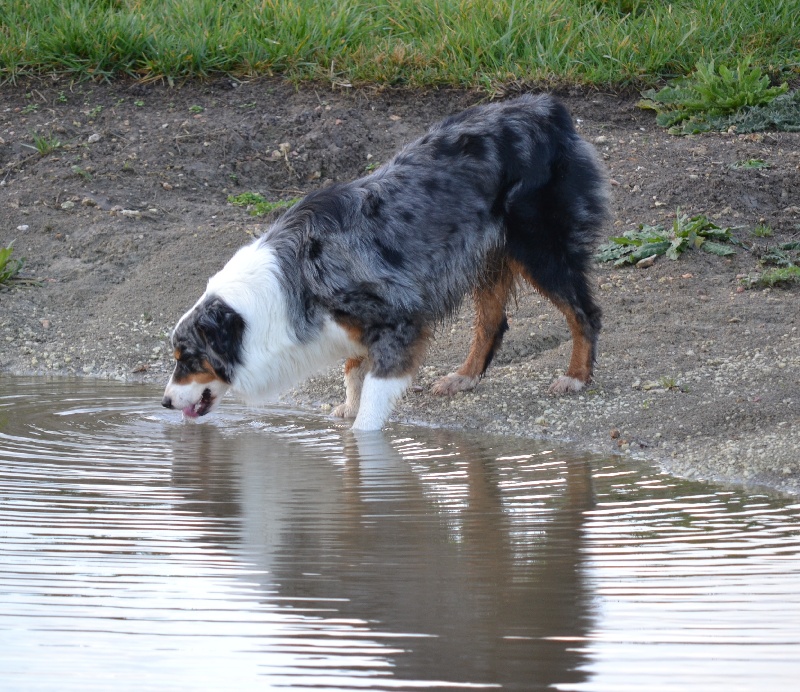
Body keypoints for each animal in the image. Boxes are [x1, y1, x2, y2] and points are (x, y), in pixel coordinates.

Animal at [164, 92, 612, 428]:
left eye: (189, 359)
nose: (165, 403)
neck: (287, 287)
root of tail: (546, 109)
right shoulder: (355, 326)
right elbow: (352, 370)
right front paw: (348, 406)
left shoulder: (400, 318)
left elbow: (374, 398)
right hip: (486, 257)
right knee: (492, 322)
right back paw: (464, 378)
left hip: (540, 250)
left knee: (583, 312)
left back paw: (575, 377)